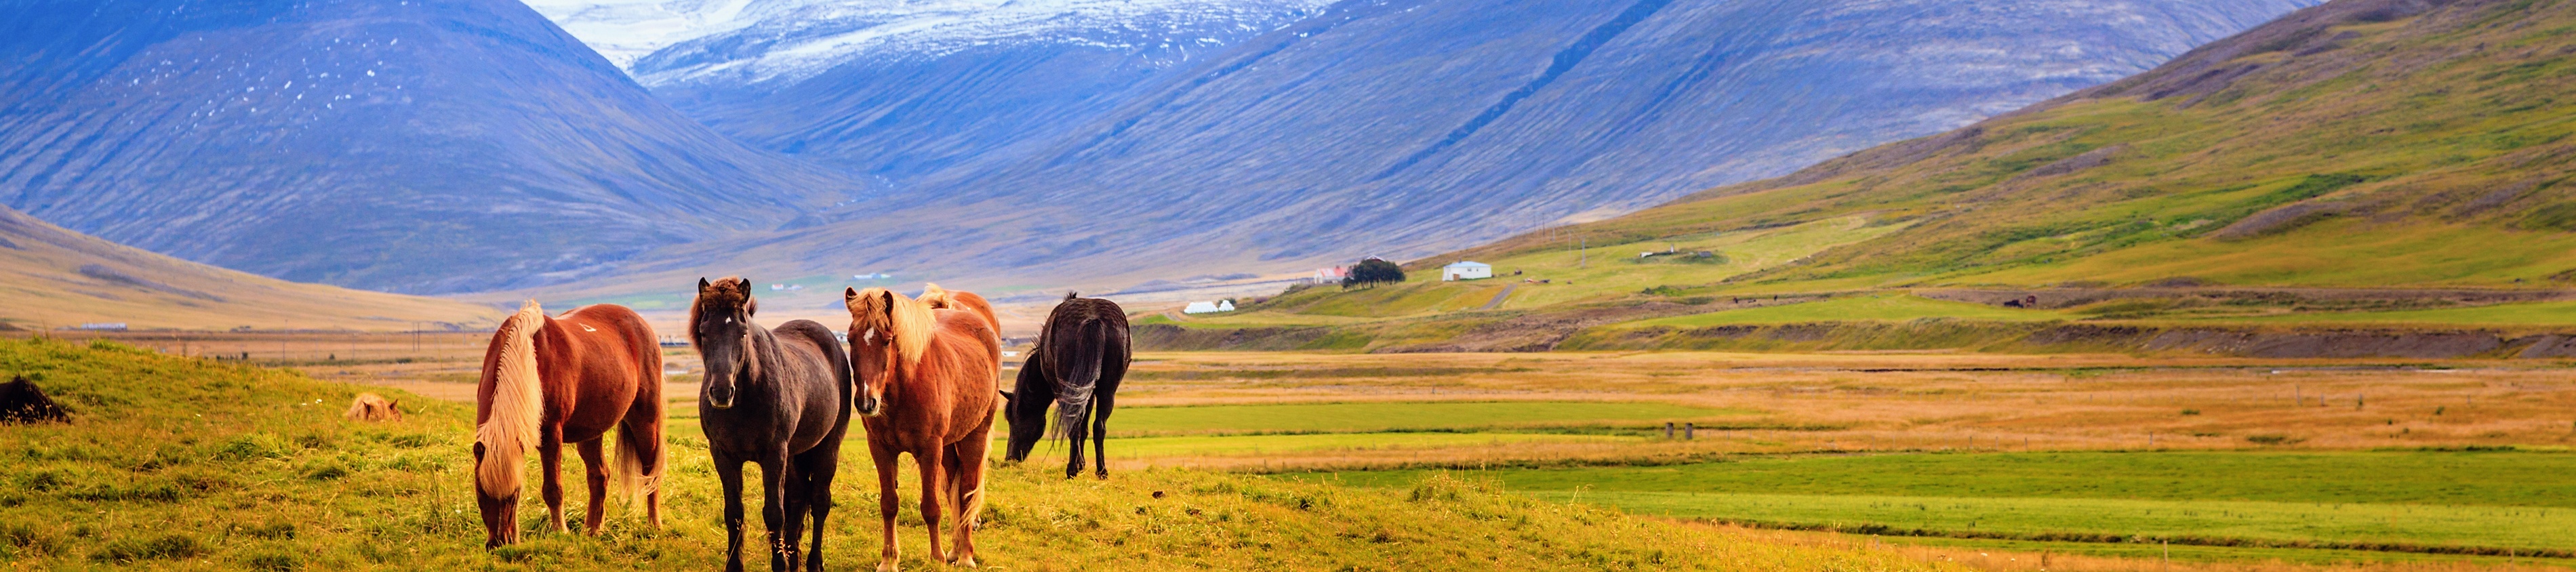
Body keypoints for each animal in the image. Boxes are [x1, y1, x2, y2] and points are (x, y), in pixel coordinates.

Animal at [471, 299, 664, 546]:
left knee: (650, 473)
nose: (499, 543)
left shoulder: (551, 433)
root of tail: (641, 324)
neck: (529, 359)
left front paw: (560, 531)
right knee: (599, 475)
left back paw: (654, 525)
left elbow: (553, 489)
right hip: (592, 431)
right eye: (481, 493)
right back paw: (592, 530)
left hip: (645, 421)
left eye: (513, 495)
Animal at [690, 278, 850, 572]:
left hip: (827, 447)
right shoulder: (723, 455)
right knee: (798, 497)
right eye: (704, 332)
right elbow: (734, 513)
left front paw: (779, 564)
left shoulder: (775, 454)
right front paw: (735, 566)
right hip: (796, 454)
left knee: (820, 501)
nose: (721, 392)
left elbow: (774, 514)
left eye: (742, 333)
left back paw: (813, 562)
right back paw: (794, 558)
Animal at [850, 286, 999, 572]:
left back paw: (965, 555)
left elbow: (931, 507)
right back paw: (955, 550)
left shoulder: (930, 449)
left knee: (967, 491)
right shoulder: (880, 448)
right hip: (951, 445)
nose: (866, 402)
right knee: (955, 490)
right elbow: (889, 504)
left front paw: (936, 557)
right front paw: (889, 559)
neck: (905, 386)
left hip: (974, 435)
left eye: (887, 340)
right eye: (851, 340)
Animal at [1005, 289, 1128, 479]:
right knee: (1099, 426)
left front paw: (1078, 464)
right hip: (1108, 390)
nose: (1010, 458)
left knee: (1073, 425)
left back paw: (1071, 470)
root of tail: (1092, 320)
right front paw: (1082, 463)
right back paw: (1101, 471)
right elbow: (1085, 428)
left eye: (1012, 419)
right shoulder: (1089, 393)